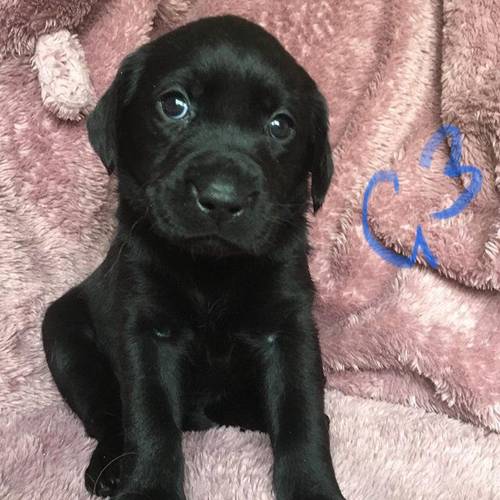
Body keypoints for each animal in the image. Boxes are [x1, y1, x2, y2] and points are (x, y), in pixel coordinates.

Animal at [42, 13, 344, 500]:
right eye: (174, 105)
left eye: (281, 125)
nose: (221, 198)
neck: (211, 268)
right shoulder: (147, 329)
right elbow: (151, 421)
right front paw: (148, 487)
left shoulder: (289, 326)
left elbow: (302, 415)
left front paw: (312, 487)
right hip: (63, 336)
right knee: (106, 414)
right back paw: (110, 465)